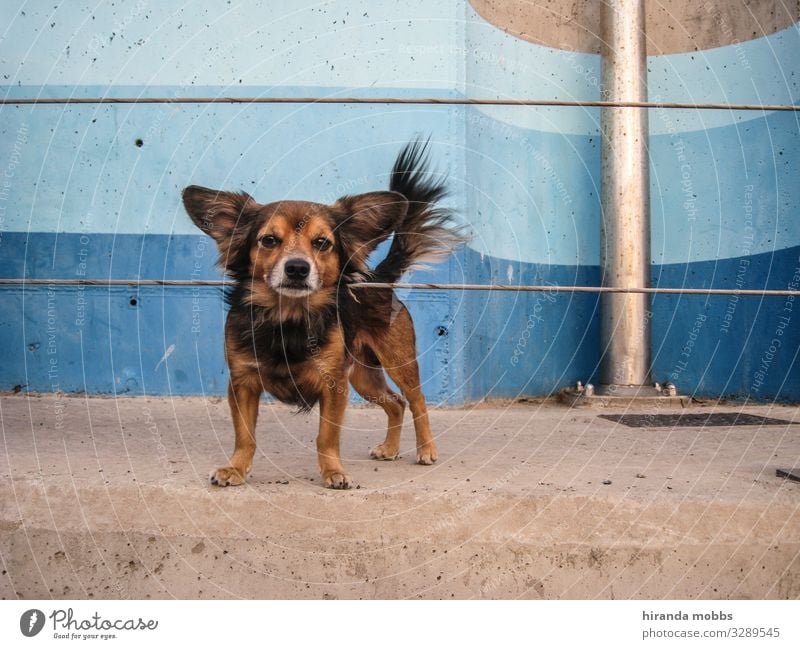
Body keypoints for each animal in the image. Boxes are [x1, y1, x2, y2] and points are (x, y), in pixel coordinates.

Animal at [182, 139, 466, 488]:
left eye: (321, 243)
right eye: (269, 240)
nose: (297, 268)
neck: (288, 319)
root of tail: (377, 279)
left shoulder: (334, 385)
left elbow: (326, 437)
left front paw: (333, 472)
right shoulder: (243, 383)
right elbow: (245, 435)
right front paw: (236, 468)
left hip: (397, 361)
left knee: (416, 400)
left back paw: (426, 449)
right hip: (362, 376)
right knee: (395, 403)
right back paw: (389, 448)